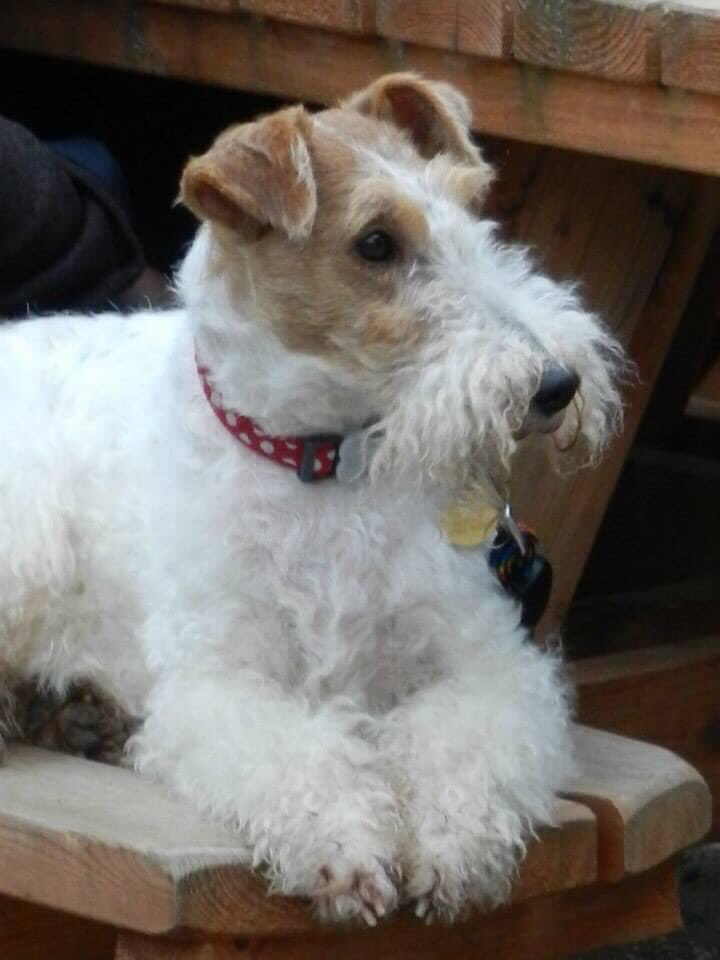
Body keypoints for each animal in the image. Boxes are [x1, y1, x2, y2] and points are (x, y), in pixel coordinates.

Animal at [0, 73, 624, 924]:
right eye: (376, 242)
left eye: (470, 210)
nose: (555, 384)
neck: (321, 466)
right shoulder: (223, 682)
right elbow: (300, 761)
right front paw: (348, 853)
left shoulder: (487, 664)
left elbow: (465, 746)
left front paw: (453, 850)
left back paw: (73, 713)